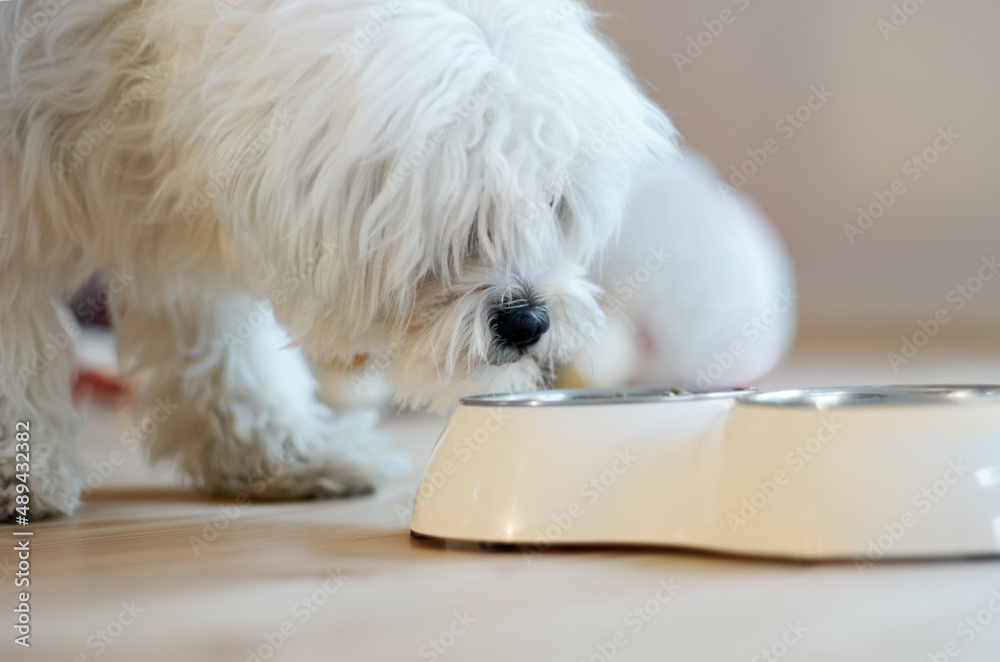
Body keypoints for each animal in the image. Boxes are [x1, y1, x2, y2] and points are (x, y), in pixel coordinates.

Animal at [0, 0, 676, 520]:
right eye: (452, 209)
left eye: (554, 198)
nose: (528, 321)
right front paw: (22, 473)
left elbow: (225, 348)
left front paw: (279, 454)